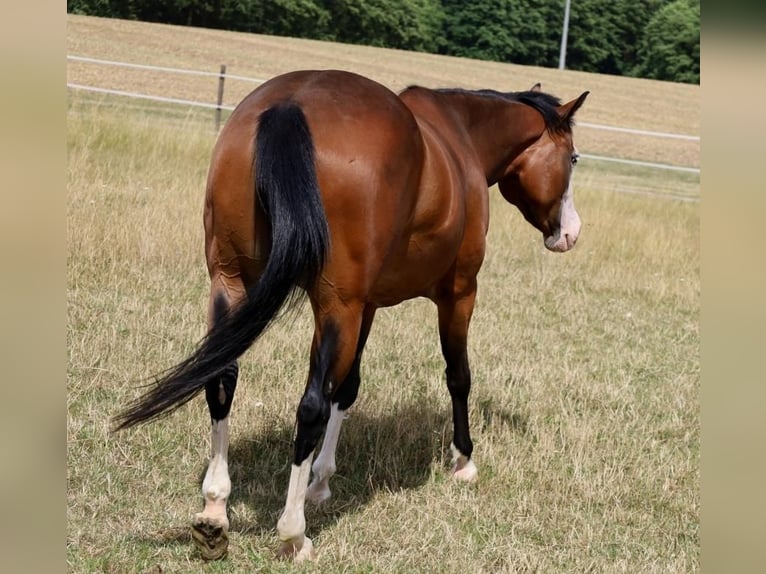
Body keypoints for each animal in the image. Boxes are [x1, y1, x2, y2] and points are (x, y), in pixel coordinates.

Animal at [114, 69, 588, 562]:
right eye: (573, 157)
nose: (570, 233)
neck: (462, 139)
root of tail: (292, 104)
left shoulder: (367, 306)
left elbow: (348, 387)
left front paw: (321, 481)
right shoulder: (457, 294)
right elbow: (457, 376)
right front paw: (464, 460)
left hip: (233, 284)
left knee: (222, 380)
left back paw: (214, 511)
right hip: (337, 306)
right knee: (309, 407)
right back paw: (293, 532)